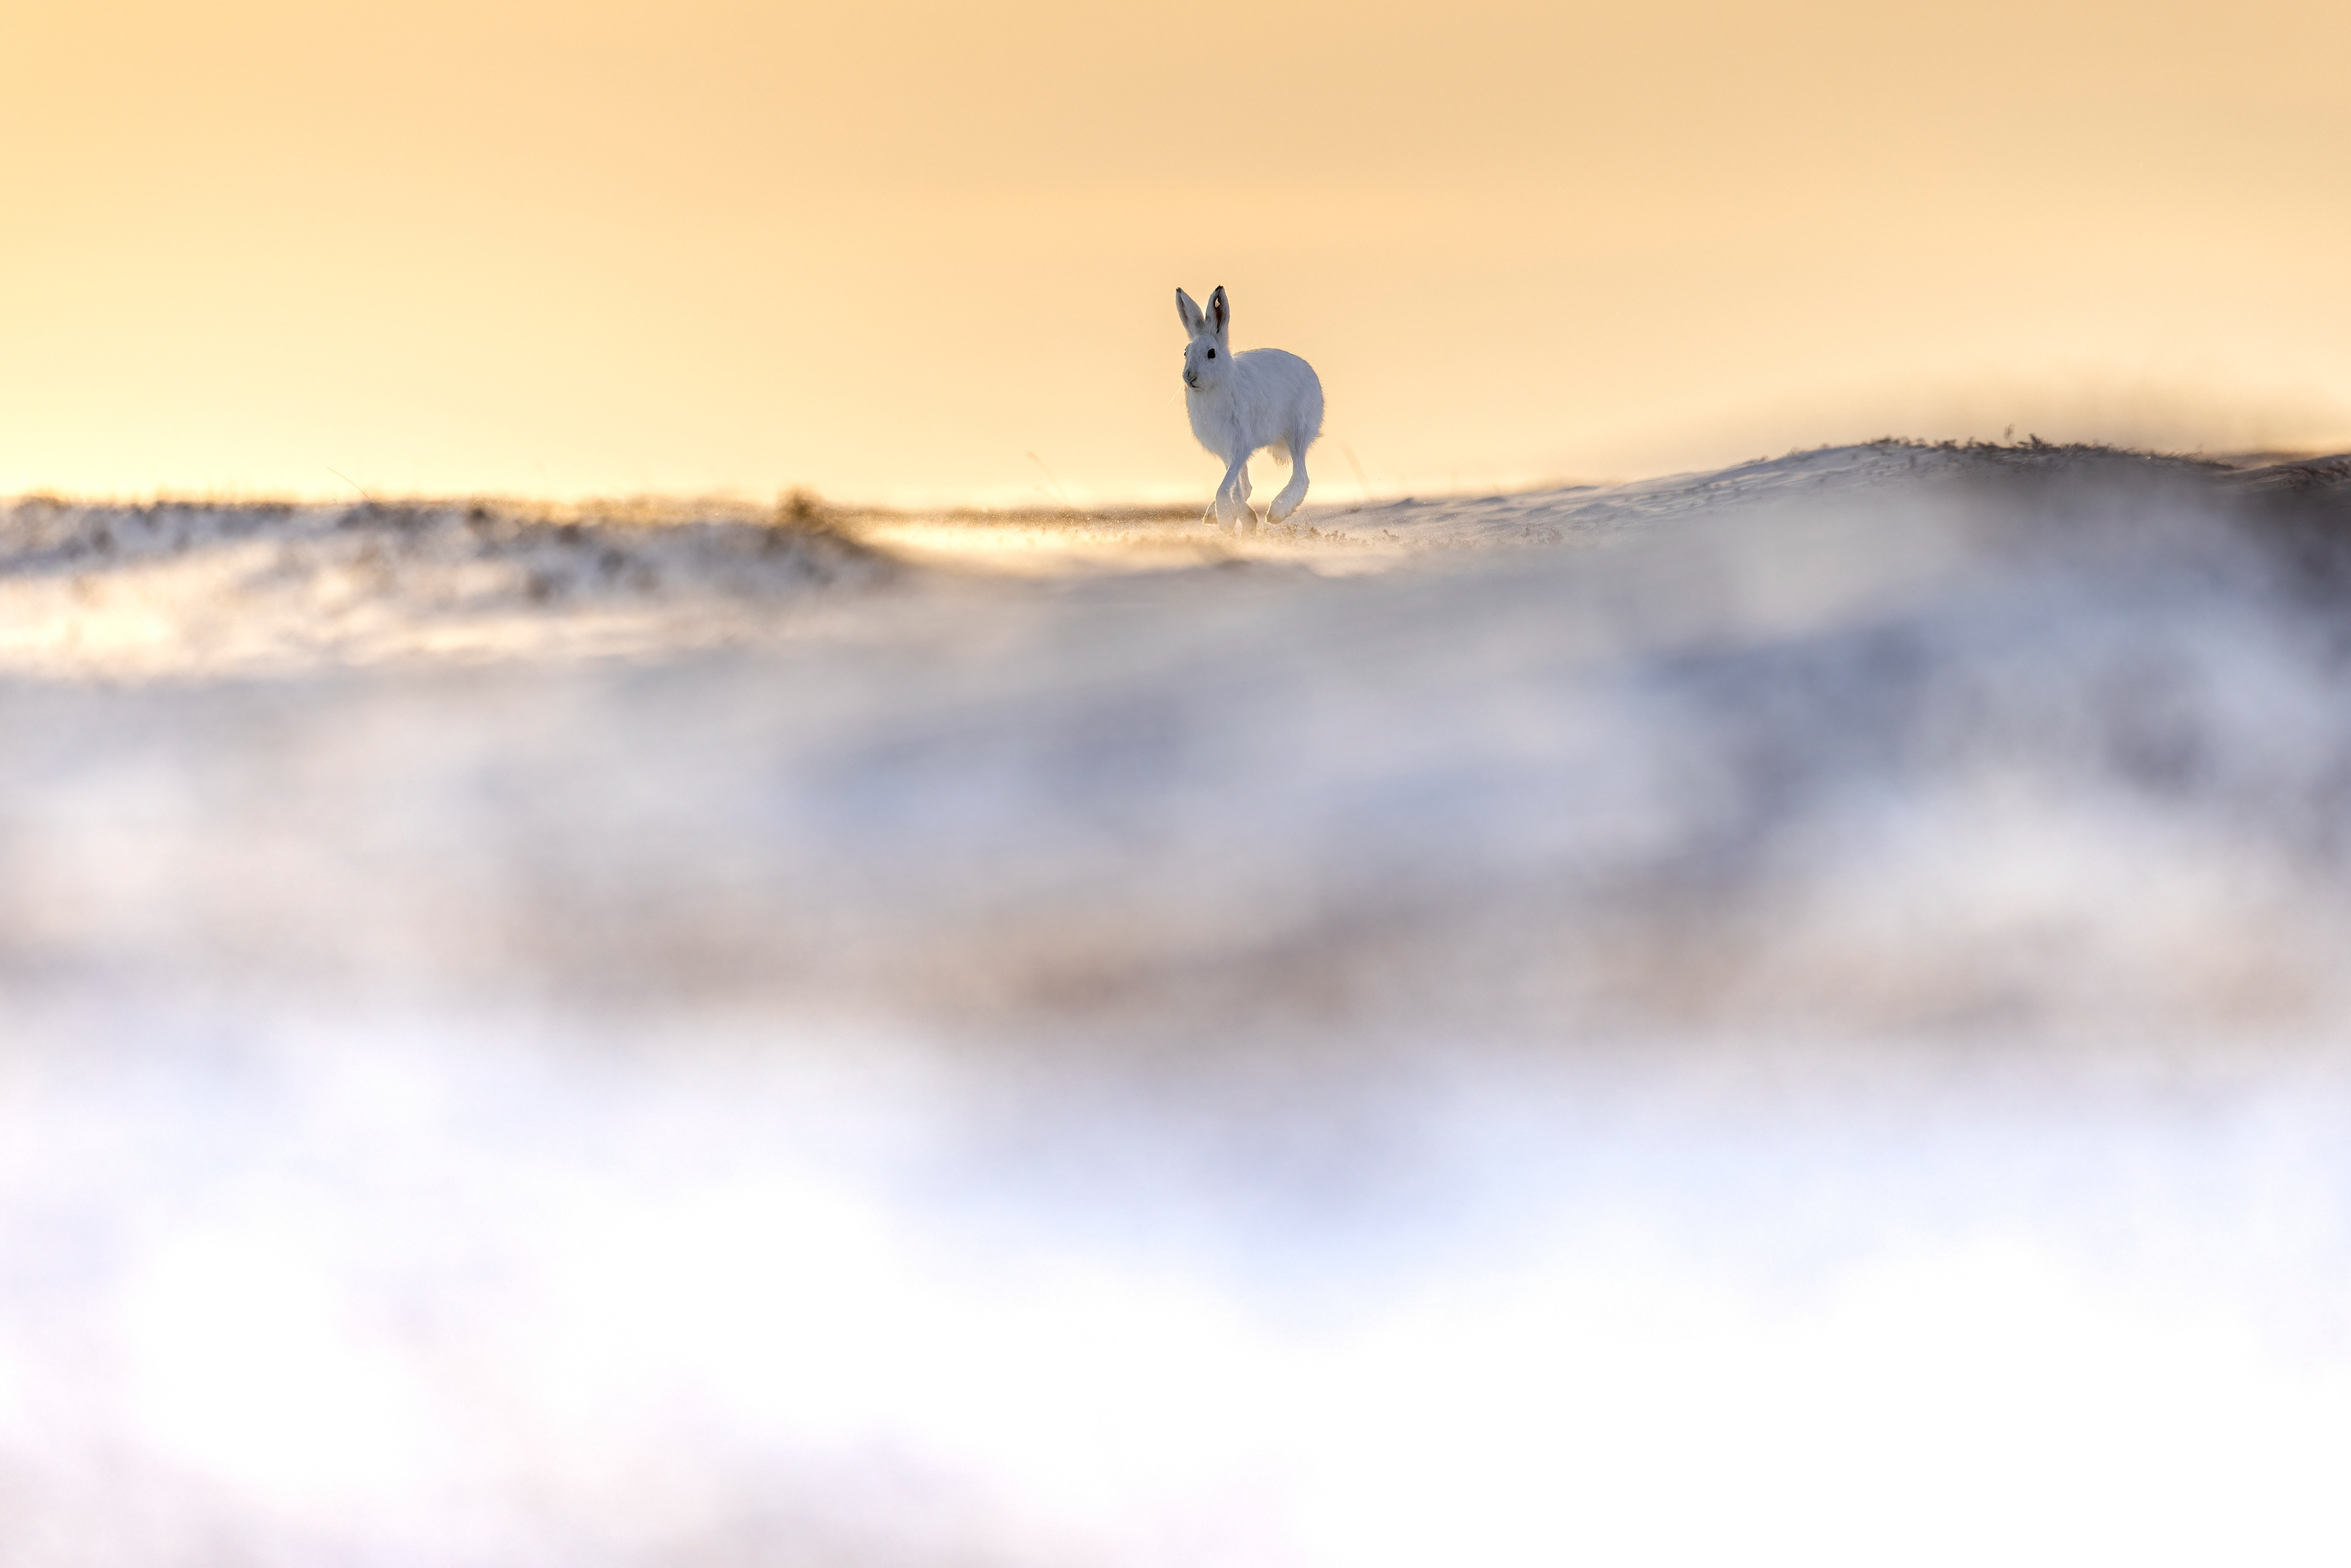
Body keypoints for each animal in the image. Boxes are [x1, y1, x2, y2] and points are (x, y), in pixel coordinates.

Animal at [1176, 285, 1324, 531]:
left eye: (1212, 353)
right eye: (1186, 352)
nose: (1190, 377)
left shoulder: (1240, 443)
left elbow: (1226, 487)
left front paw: (1228, 520)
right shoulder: (1227, 449)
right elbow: (1236, 486)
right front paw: (1241, 518)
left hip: (1298, 432)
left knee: (1301, 476)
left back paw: (1277, 512)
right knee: (1248, 484)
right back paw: (1217, 513)